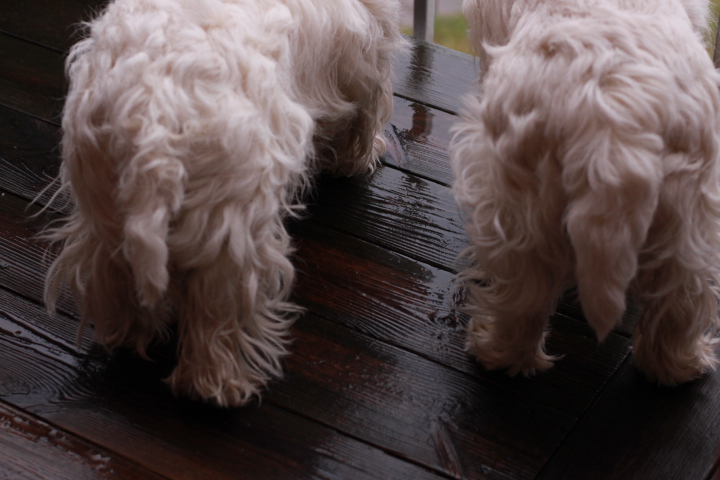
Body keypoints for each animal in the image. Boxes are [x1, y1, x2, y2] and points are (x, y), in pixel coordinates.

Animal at [43, 0, 403, 407]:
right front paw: (361, 156)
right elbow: (367, 112)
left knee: (112, 279)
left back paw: (133, 334)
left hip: (103, 210)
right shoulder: (365, 54)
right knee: (215, 320)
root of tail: (152, 120)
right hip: (231, 235)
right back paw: (222, 385)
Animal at [451, 0, 720, 385]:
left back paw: (493, 349)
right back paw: (680, 366)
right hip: (687, 223)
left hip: (519, 205)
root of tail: (615, 127)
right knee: (680, 302)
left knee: (524, 298)